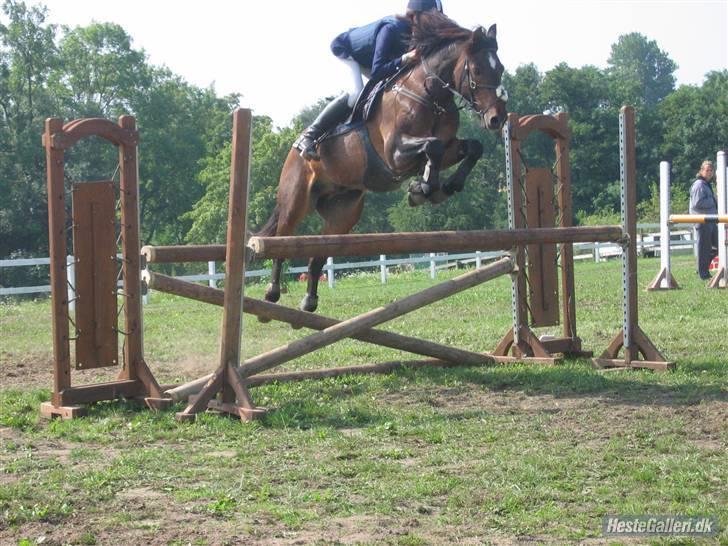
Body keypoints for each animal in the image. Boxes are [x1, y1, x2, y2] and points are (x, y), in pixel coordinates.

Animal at [258, 12, 506, 310]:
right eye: (477, 70)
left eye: (500, 69)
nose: (497, 118)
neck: (429, 94)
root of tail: (293, 149)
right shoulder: (395, 154)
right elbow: (431, 147)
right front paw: (424, 188)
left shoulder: (447, 147)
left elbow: (471, 148)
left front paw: (442, 187)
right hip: (295, 200)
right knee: (281, 239)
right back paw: (272, 291)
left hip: (344, 212)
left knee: (317, 254)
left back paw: (309, 300)